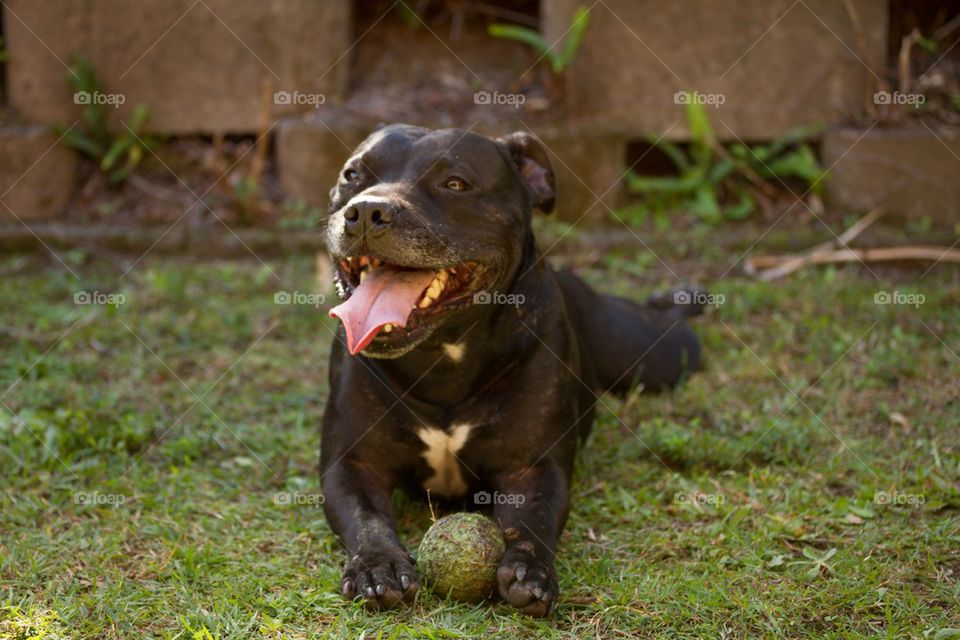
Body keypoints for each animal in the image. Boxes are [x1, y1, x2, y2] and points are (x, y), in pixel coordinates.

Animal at [318, 124, 700, 616]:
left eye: (455, 183)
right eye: (352, 175)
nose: (366, 210)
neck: (442, 355)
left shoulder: (530, 467)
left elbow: (534, 519)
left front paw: (529, 569)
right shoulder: (352, 463)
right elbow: (366, 518)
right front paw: (377, 564)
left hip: (658, 354)